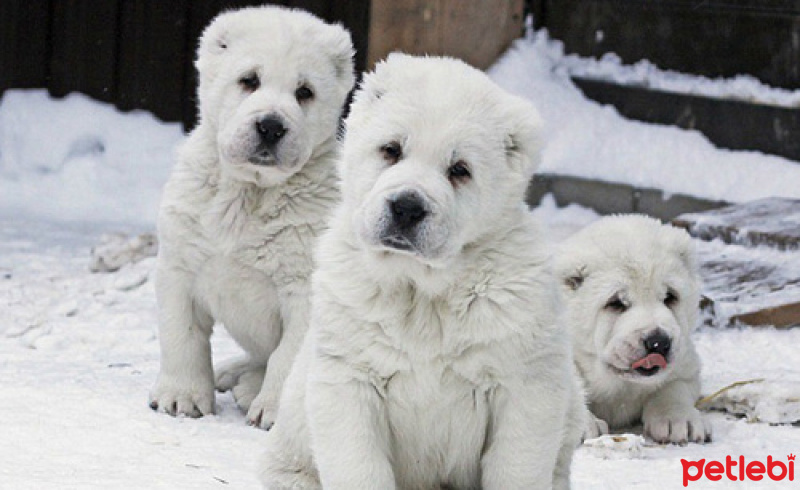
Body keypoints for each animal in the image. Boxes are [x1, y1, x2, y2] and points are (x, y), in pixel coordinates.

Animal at [148, 6, 354, 428]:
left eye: (304, 92)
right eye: (249, 80)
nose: (271, 126)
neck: (250, 194)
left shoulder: (305, 288)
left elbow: (288, 357)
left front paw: (271, 411)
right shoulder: (180, 261)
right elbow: (181, 333)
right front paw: (182, 397)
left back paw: (247, 387)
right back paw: (231, 374)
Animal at [552, 214, 708, 444]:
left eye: (670, 296)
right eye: (615, 302)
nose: (658, 342)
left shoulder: (684, 354)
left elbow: (676, 384)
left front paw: (678, 421)